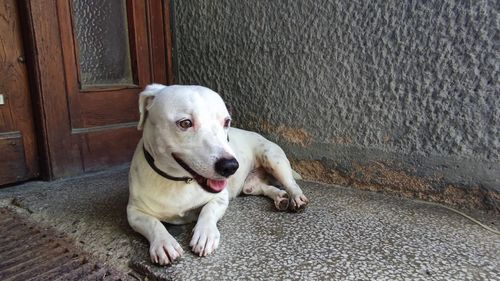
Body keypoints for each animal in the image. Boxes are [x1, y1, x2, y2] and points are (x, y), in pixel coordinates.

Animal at [128, 84, 308, 264]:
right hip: (250, 185)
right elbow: (152, 222)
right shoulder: (133, 212)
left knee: (291, 183)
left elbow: (208, 210)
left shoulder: (220, 198)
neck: (179, 181)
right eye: (185, 123)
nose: (231, 166)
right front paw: (163, 242)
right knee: (264, 188)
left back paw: (296, 197)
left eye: (226, 121)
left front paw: (205, 233)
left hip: (273, 159)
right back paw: (280, 197)